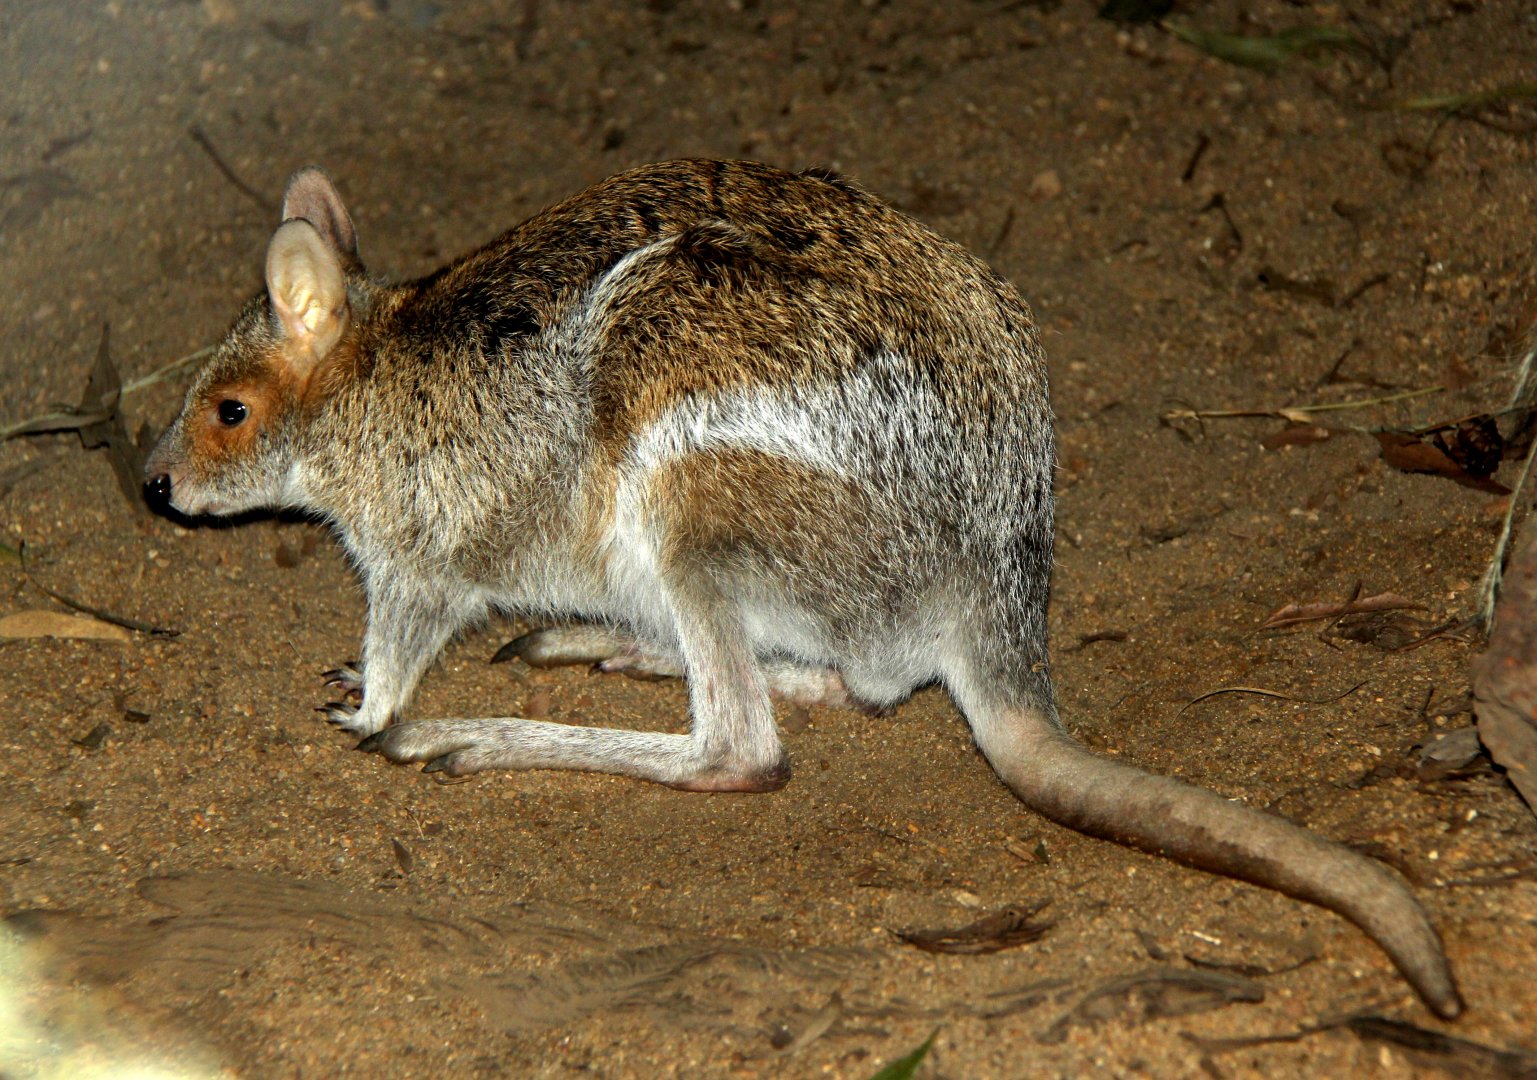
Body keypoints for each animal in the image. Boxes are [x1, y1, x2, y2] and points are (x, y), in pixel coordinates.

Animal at [143, 159, 1460, 1018]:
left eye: (228, 412)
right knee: (843, 681)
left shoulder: (419, 553)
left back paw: (468, 736)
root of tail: (991, 599)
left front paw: (368, 709)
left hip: (691, 490)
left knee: (742, 748)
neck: (358, 387)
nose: (152, 485)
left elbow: (399, 641)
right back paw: (611, 648)